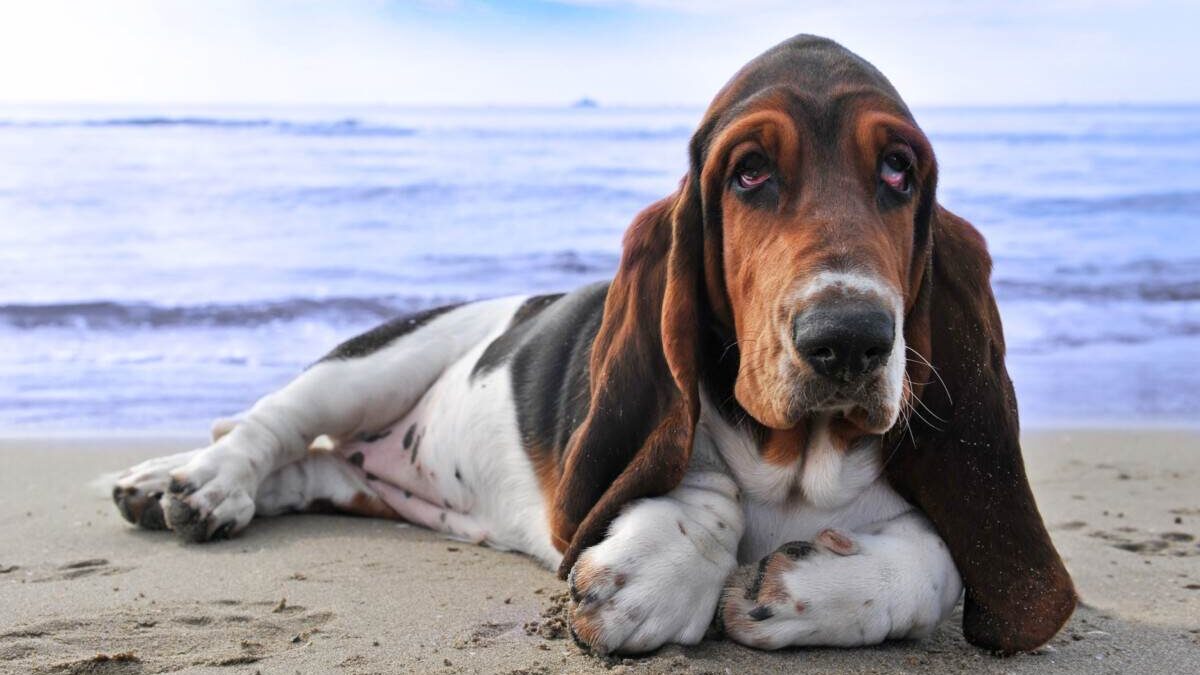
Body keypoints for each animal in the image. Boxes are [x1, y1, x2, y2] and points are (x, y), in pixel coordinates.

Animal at [110, 35, 1080, 653]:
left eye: (899, 170)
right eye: (749, 172)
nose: (849, 340)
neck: (799, 466)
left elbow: (944, 558)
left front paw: (799, 592)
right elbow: (701, 486)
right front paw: (653, 575)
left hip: (364, 479)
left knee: (307, 471)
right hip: (372, 364)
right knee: (267, 428)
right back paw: (190, 486)